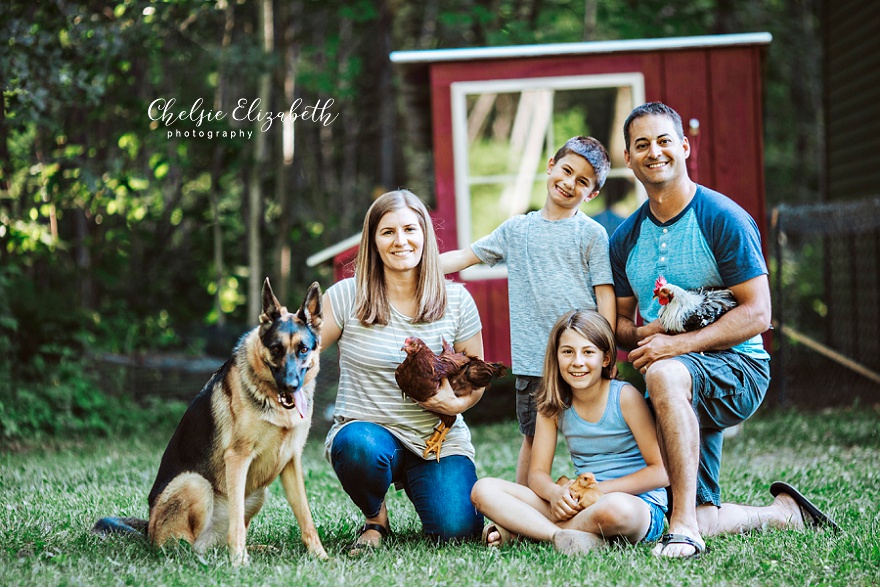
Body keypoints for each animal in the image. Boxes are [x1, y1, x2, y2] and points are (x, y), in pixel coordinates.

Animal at [93, 280, 326, 564]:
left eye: (303, 349)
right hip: (195, 483)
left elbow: (305, 517)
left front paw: (321, 557)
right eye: (276, 350)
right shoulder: (237, 459)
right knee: (184, 547)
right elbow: (237, 522)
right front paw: (239, 562)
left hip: (258, 492)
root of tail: (148, 529)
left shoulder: (291, 462)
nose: (291, 386)